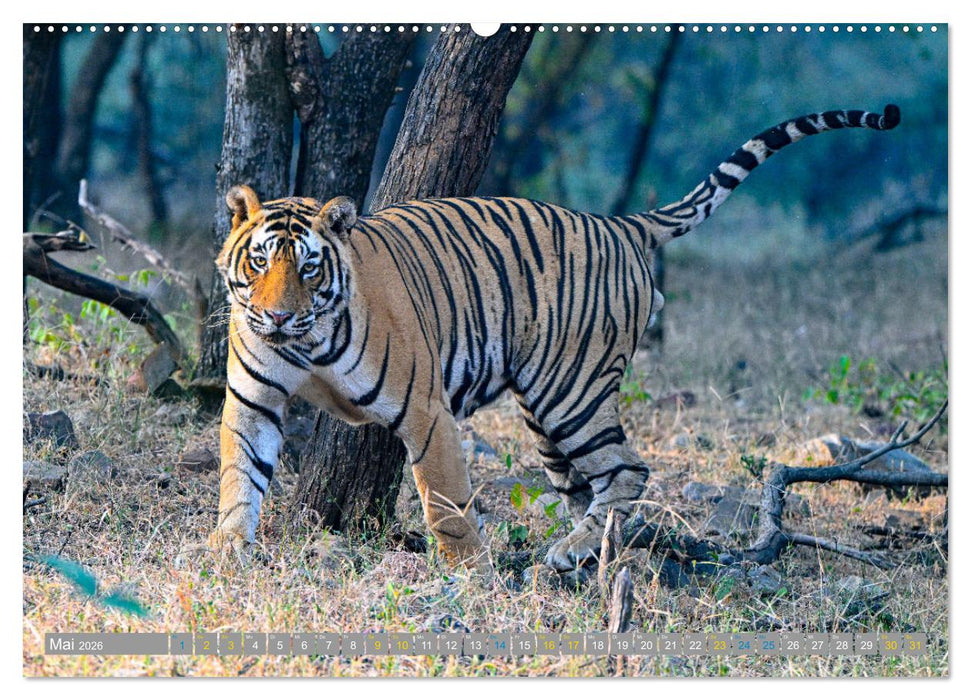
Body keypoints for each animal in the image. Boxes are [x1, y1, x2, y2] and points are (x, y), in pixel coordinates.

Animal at [209, 104, 900, 577]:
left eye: (309, 268)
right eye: (261, 261)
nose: (276, 318)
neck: (308, 342)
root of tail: (617, 222)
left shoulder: (427, 411)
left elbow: (446, 500)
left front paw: (468, 574)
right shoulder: (253, 401)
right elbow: (239, 475)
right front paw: (224, 551)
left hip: (572, 394)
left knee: (628, 469)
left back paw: (571, 553)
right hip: (545, 415)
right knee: (587, 488)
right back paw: (585, 554)